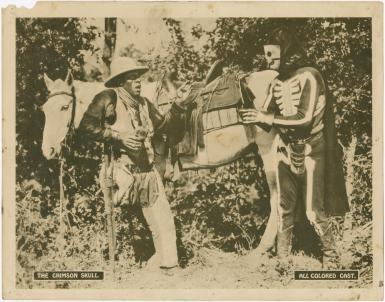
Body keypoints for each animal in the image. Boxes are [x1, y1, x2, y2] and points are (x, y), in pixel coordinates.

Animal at [41, 69, 280, 254]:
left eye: (64, 107)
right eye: (44, 109)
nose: (48, 150)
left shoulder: (155, 167)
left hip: (270, 153)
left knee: (277, 199)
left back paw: (261, 250)